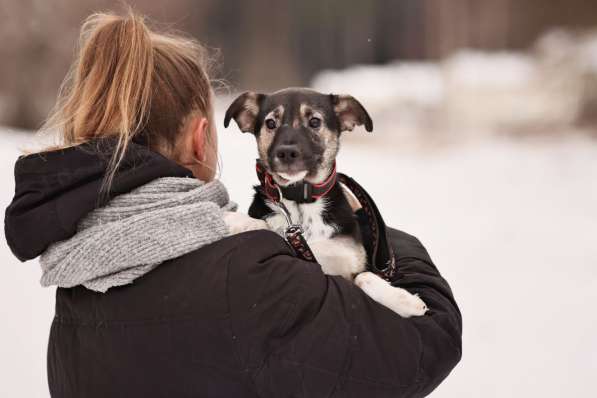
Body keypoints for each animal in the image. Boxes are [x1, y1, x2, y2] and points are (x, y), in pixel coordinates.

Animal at [222, 88, 424, 318]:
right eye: (271, 123)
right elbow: (267, 226)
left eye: (315, 121)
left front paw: (404, 300)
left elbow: (365, 277)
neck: (301, 200)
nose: (286, 153)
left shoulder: (351, 262)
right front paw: (235, 220)